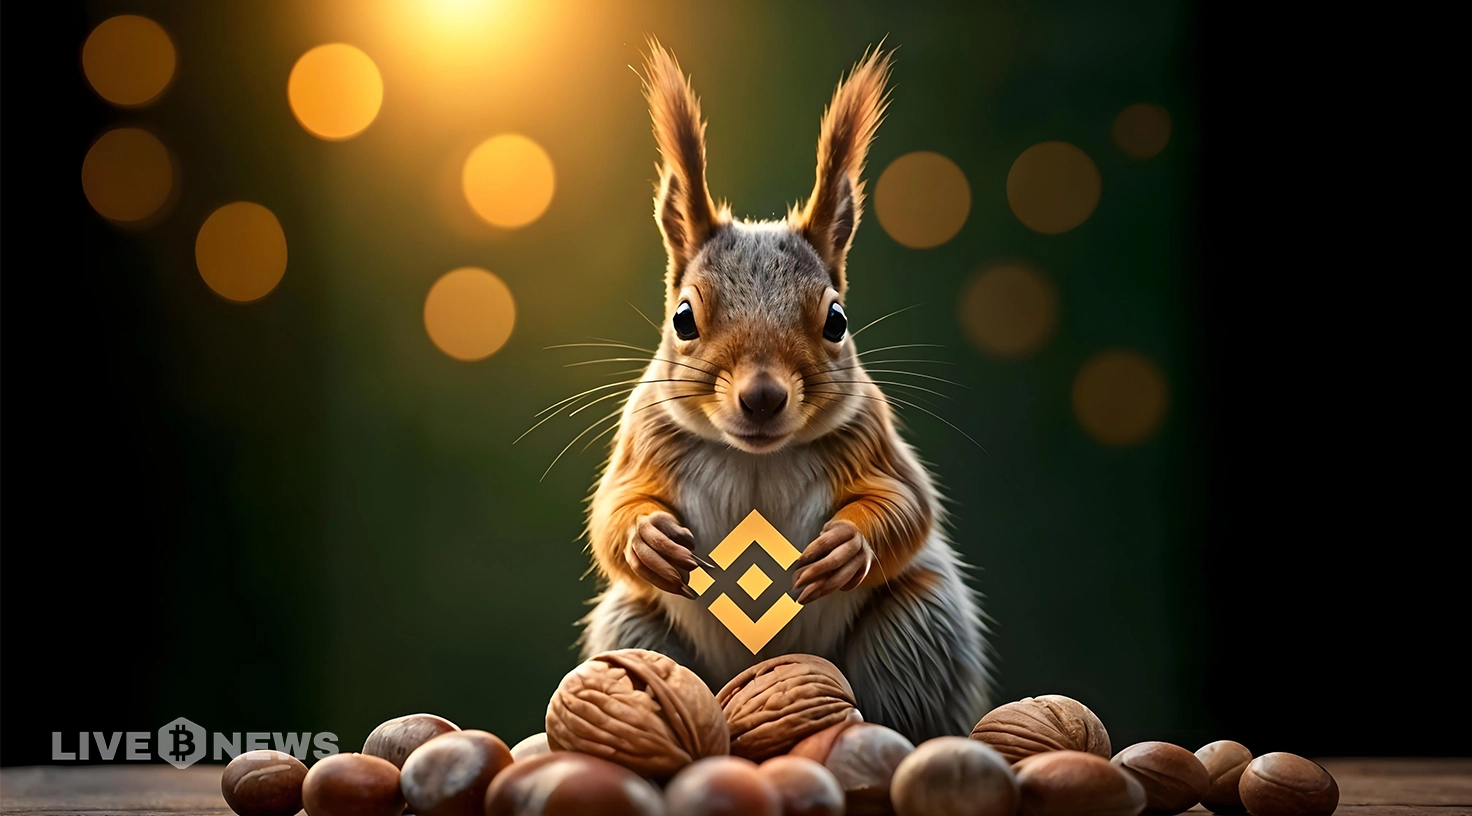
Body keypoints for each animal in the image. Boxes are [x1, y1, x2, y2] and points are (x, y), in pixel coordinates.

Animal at [577, 42, 991, 742]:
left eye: (837, 320)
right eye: (683, 318)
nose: (763, 396)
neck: (756, 459)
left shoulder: (872, 439)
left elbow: (908, 504)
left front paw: (849, 546)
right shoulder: (644, 440)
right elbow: (611, 512)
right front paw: (646, 538)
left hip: (916, 628)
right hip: (634, 627)